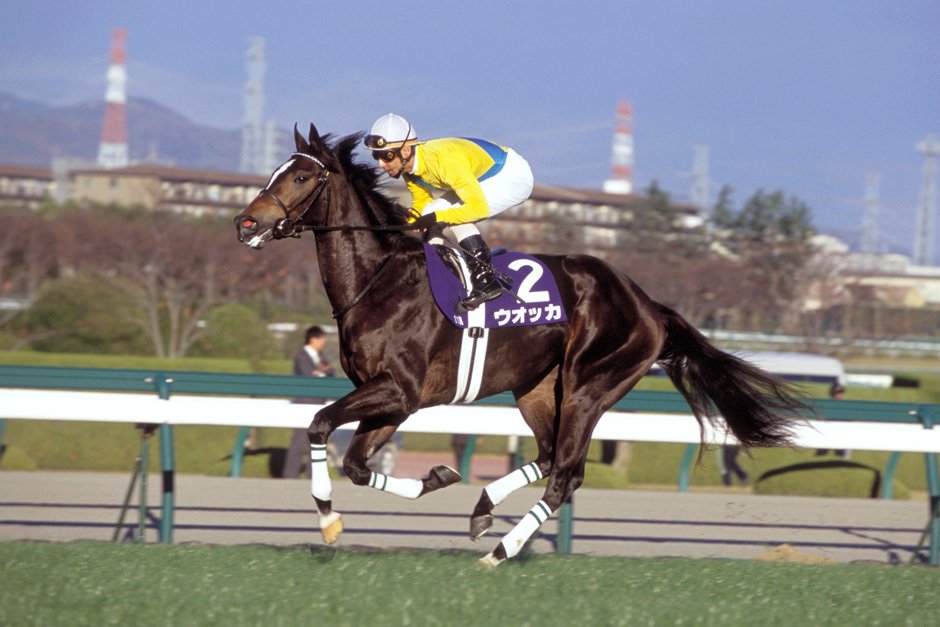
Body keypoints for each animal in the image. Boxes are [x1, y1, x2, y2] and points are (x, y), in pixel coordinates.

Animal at [234, 123, 807, 567]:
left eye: (301, 176)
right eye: (277, 170)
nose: (246, 223)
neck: (380, 281)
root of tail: (648, 305)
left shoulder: (399, 389)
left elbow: (318, 424)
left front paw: (329, 520)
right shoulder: (392, 399)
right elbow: (355, 464)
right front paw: (438, 477)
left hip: (588, 388)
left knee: (567, 475)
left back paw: (500, 551)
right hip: (537, 389)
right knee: (551, 457)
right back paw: (483, 509)